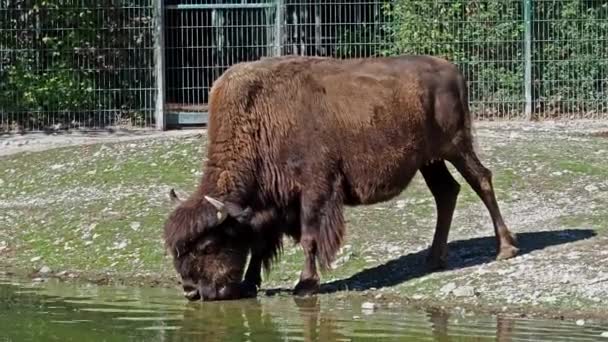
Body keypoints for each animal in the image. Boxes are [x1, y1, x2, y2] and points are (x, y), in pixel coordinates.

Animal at [164, 54, 520, 300]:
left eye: (208, 246)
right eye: (176, 251)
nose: (191, 291)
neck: (259, 118)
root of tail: (451, 69)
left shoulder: (314, 191)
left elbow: (308, 238)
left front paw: (305, 285)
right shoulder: (274, 202)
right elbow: (262, 243)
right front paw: (251, 283)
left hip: (456, 146)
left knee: (481, 180)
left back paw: (505, 248)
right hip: (430, 160)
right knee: (447, 192)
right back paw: (434, 259)